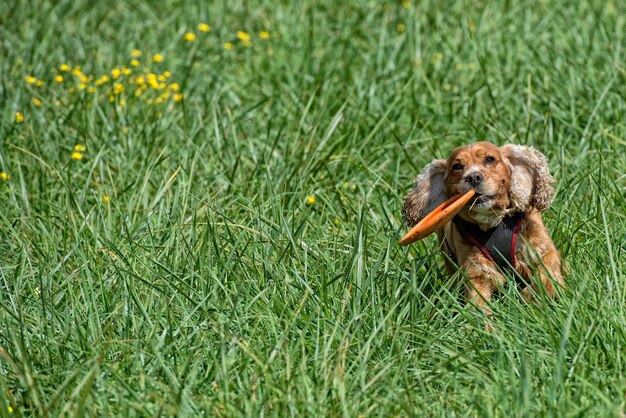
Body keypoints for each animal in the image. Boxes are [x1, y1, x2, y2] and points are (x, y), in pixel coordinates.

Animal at [402, 142, 564, 312]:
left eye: (490, 159)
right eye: (457, 166)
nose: (473, 177)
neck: (494, 220)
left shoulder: (542, 247)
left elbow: (547, 275)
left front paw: (530, 298)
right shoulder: (476, 272)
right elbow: (478, 303)